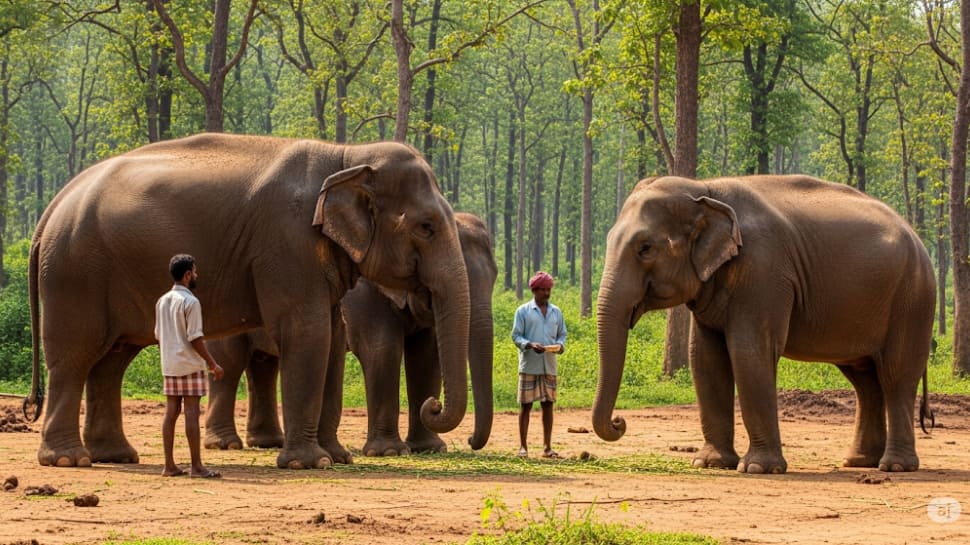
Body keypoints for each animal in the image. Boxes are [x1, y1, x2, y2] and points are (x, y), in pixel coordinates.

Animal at [202, 212, 497, 458]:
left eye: (494, 278)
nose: (470, 440)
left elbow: (426, 358)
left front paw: (429, 449)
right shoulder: (364, 297)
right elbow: (383, 351)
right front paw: (389, 452)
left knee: (264, 365)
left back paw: (269, 442)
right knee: (230, 363)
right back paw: (225, 444)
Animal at [593, 174, 935, 474]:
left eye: (645, 248)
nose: (619, 422)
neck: (704, 188)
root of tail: (917, 237)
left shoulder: (764, 272)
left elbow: (749, 352)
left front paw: (757, 468)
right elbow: (705, 359)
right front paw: (710, 463)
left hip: (912, 301)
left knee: (895, 376)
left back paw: (895, 466)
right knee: (865, 381)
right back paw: (859, 462)